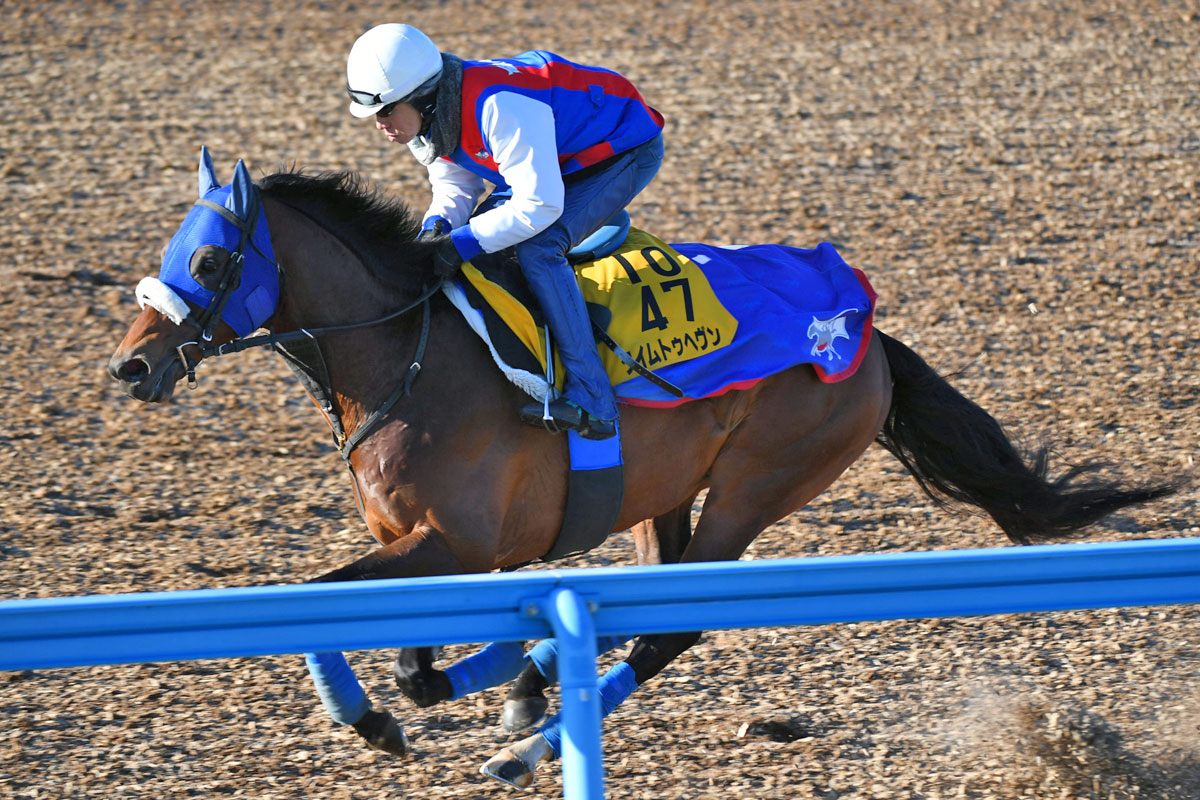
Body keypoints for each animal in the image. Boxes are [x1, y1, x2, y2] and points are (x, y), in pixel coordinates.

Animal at [108, 149, 1176, 786]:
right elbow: (381, 638)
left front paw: (375, 718)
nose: (131, 366)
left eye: (211, 263)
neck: (404, 354)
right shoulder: (425, 547)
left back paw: (530, 737)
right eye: (172, 248)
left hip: (756, 486)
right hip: (658, 495)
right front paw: (449, 689)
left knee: (678, 625)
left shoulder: (458, 542)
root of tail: (863, 325)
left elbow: (343, 620)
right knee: (650, 605)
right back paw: (528, 687)